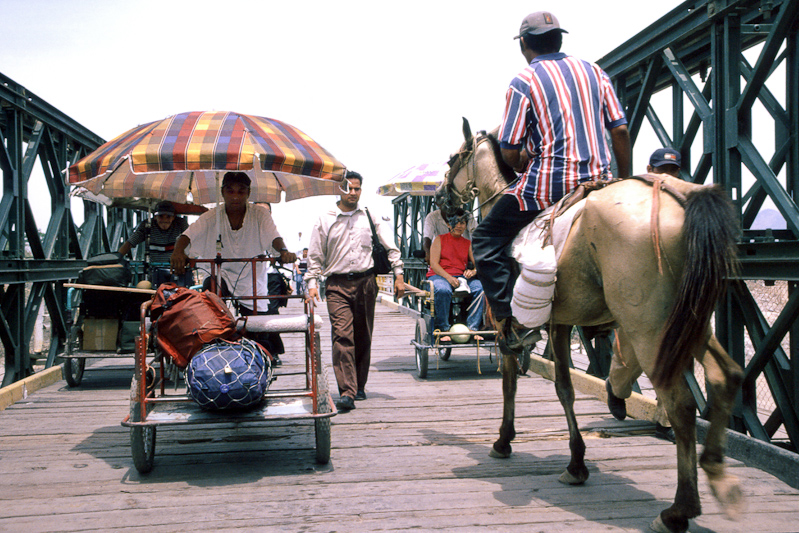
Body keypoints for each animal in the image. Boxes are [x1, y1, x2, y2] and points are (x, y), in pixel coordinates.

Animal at [446, 117, 748, 532]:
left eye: (451, 161)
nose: (442, 201)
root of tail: (678, 198)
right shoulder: (560, 322)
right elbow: (564, 388)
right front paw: (576, 461)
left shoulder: (508, 324)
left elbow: (517, 383)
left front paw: (506, 442)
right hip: (691, 319)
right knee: (726, 374)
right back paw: (717, 472)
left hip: (649, 327)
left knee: (681, 404)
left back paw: (678, 510)